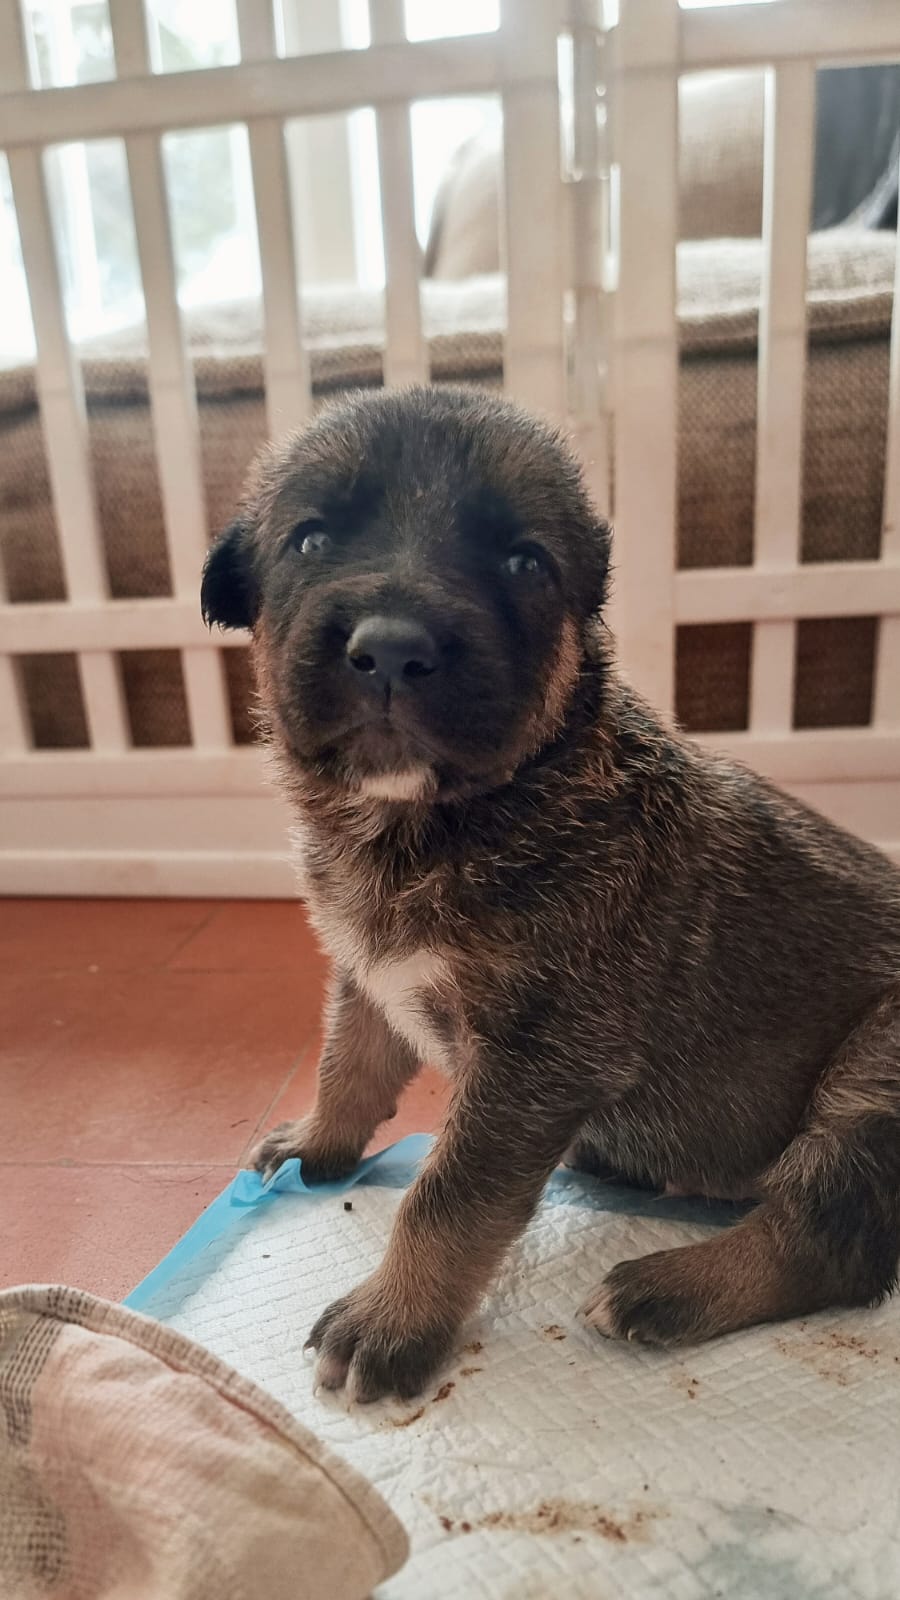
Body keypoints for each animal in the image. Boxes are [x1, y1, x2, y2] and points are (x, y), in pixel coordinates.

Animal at [202, 385, 900, 1403]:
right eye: (310, 539)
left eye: (525, 562)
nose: (392, 652)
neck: (428, 819)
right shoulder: (369, 972)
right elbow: (350, 1059)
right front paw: (317, 1137)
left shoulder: (539, 1057)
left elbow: (448, 1194)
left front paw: (393, 1317)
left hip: (869, 1074)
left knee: (833, 1236)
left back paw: (669, 1287)